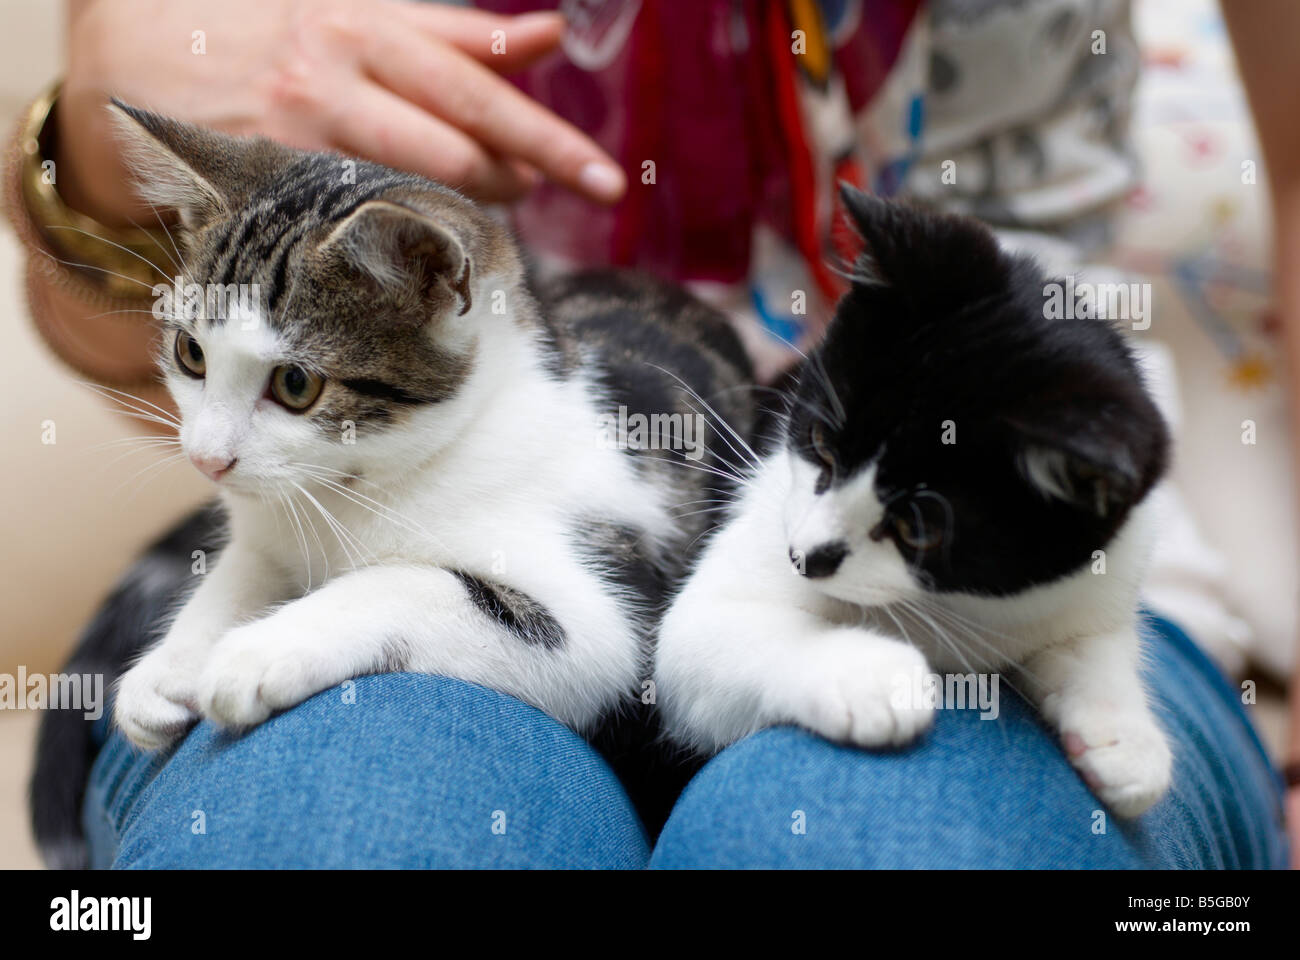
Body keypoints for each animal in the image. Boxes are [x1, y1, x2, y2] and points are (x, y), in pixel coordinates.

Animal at [655, 188, 1175, 816]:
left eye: (919, 529)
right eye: (821, 443)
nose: (805, 557)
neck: (951, 606)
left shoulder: (1103, 565)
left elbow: (1096, 639)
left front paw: (1124, 734)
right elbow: (702, 636)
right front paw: (870, 675)